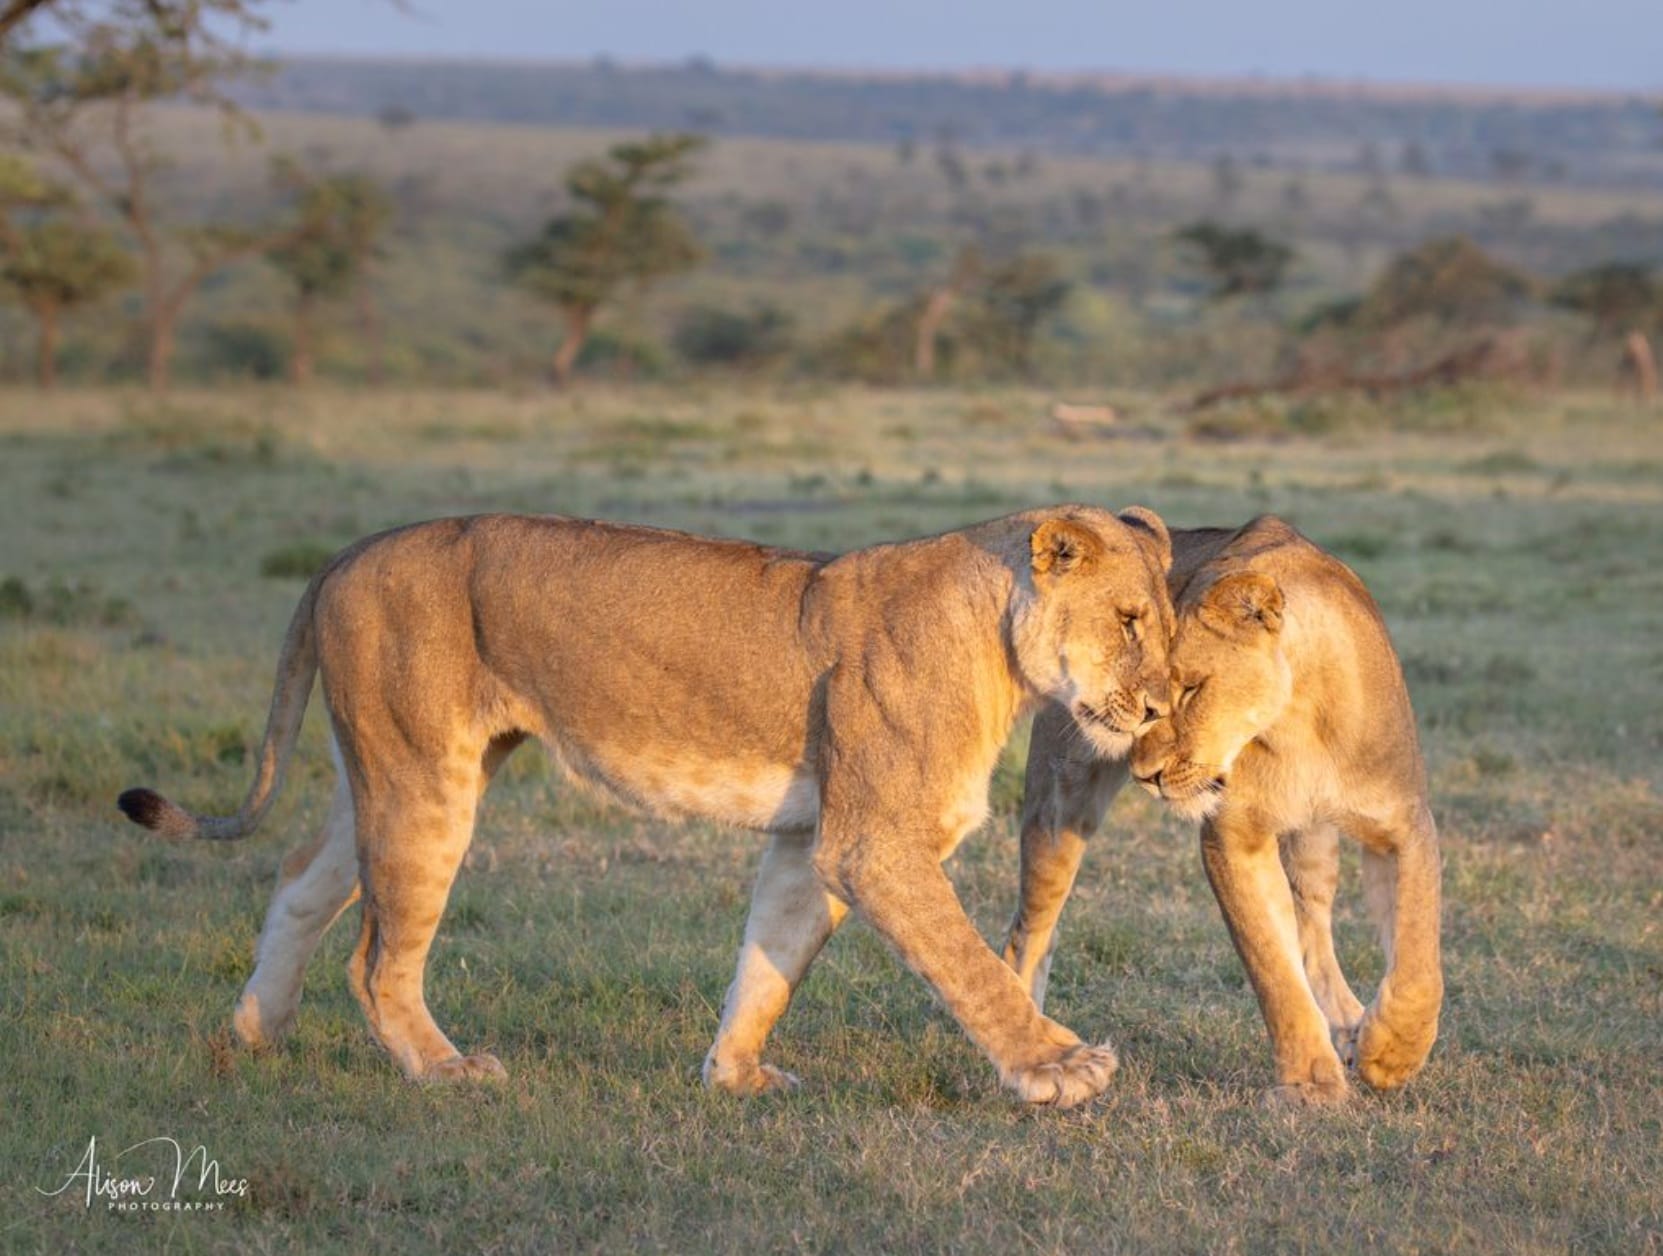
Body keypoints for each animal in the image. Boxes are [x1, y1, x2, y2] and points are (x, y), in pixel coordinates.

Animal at [117, 505, 1175, 1106]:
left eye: (1166, 633)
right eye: (1127, 623)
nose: (1164, 708)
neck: (997, 642)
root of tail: (349, 550)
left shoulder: (812, 838)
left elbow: (770, 961)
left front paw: (735, 1076)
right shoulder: (871, 843)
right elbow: (969, 966)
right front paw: (1055, 1066)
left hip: (386, 770)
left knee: (302, 881)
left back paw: (255, 1034)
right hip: (425, 783)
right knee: (377, 959)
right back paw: (444, 1071)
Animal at [1003, 515, 1442, 1106]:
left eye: (1190, 689)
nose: (1145, 773)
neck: (1295, 723)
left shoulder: (1402, 822)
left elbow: (1418, 950)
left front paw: (1390, 1052)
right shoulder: (1233, 840)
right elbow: (1272, 965)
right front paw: (1310, 1083)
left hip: (1313, 843)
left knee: (1313, 932)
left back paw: (1353, 1026)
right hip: (1061, 808)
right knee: (1028, 933)